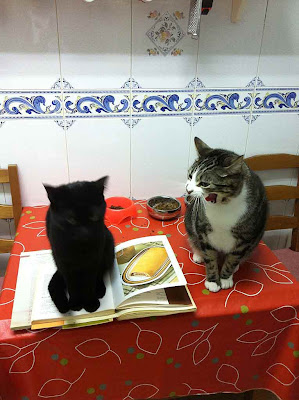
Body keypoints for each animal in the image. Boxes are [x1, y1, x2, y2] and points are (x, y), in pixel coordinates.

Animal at [44, 177, 115, 312]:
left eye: (93, 216)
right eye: (71, 219)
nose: (85, 233)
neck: (80, 249)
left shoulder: (93, 260)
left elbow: (90, 282)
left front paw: (91, 303)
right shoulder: (65, 264)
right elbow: (71, 285)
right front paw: (75, 303)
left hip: (108, 247)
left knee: (100, 272)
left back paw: (99, 290)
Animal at [185, 139, 268, 292]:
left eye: (204, 183)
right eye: (190, 176)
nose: (188, 190)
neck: (222, 206)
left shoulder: (245, 238)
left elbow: (232, 259)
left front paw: (225, 279)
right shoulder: (203, 230)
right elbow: (210, 257)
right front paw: (212, 281)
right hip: (190, 223)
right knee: (194, 239)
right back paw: (198, 255)